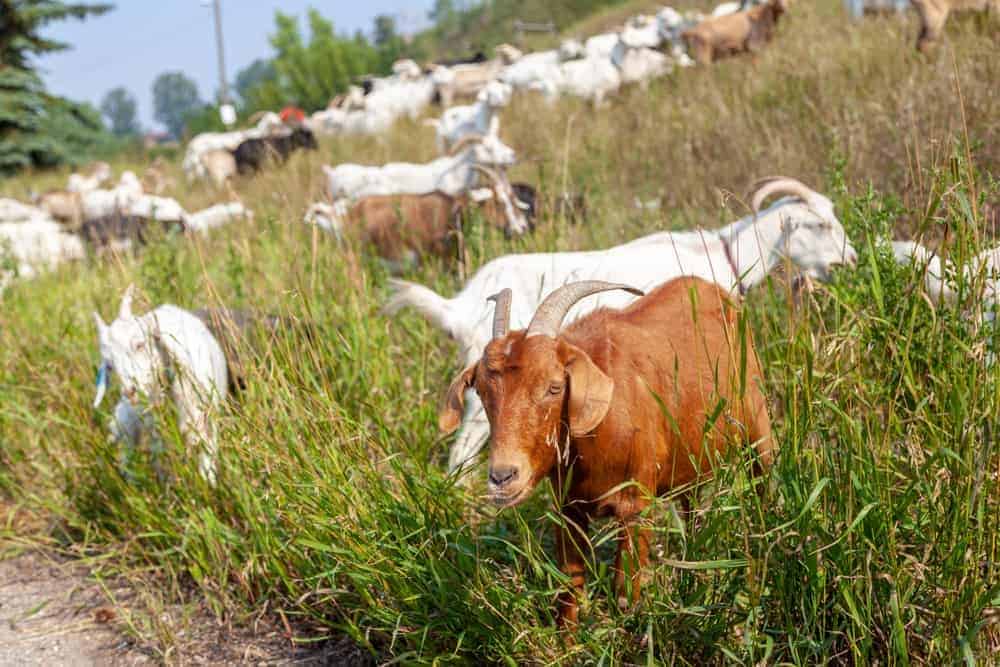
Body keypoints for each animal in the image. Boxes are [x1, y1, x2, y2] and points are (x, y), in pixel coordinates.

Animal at [93, 288, 228, 486]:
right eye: (110, 365)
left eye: (139, 345)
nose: (130, 392)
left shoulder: (205, 417)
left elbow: (207, 457)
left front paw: (208, 485)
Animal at [440, 276, 772, 628]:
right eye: (482, 391)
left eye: (555, 387)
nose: (503, 477)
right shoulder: (568, 510)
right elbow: (569, 591)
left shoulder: (636, 506)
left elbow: (625, 593)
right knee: (692, 510)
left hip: (759, 425)